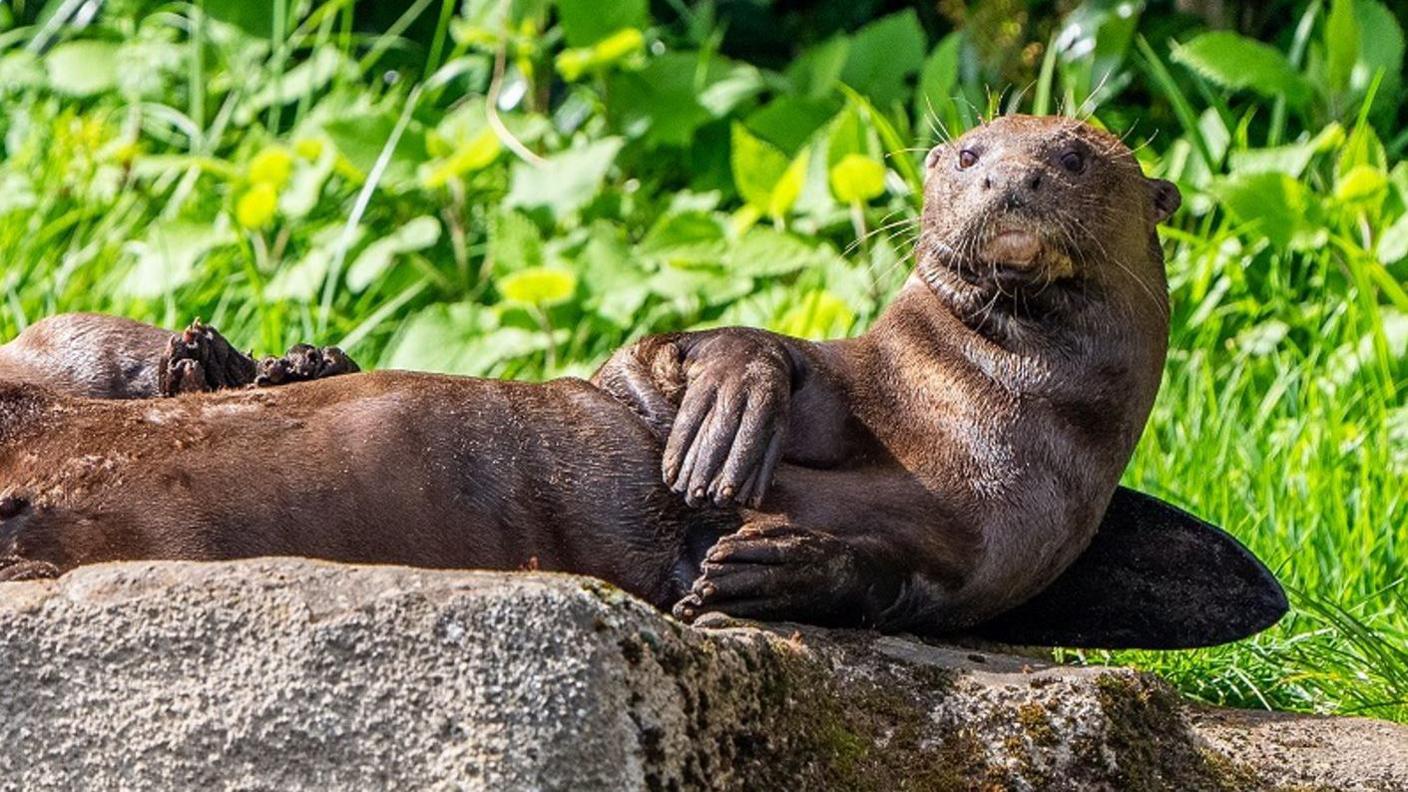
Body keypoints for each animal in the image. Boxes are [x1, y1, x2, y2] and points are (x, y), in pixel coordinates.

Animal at [0, 118, 1284, 648]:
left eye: (1067, 155)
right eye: (968, 151)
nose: (1006, 178)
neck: (980, 412)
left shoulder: (992, 561)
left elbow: (896, 585)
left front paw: (764, 566)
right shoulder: (773, 371)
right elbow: (691, 353)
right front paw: (729, 421)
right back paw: (212, 360)